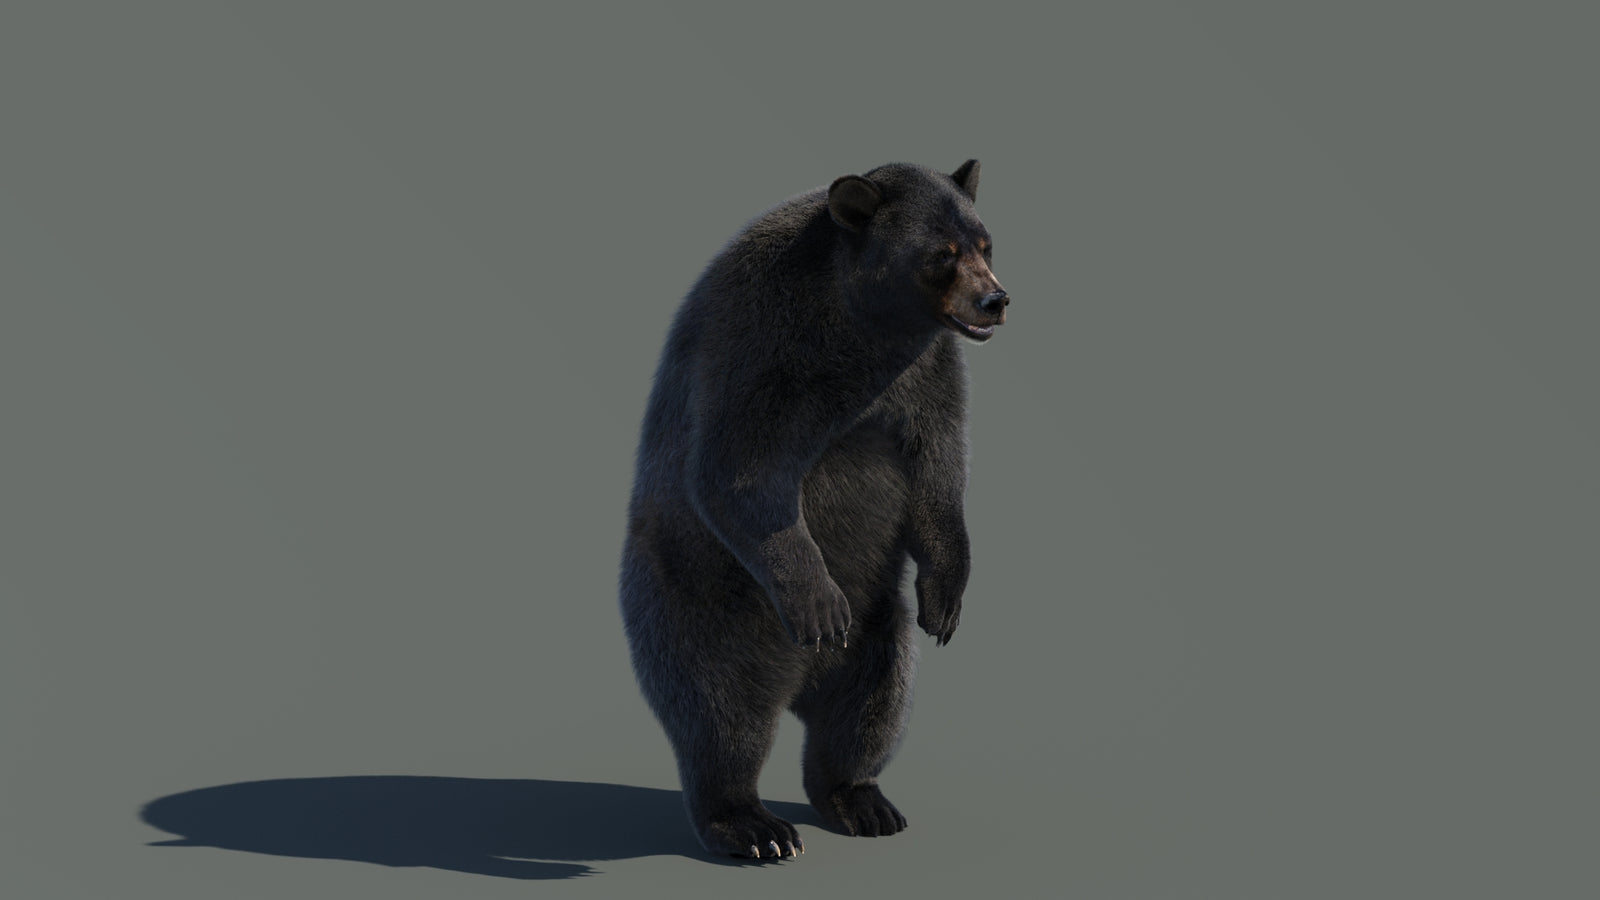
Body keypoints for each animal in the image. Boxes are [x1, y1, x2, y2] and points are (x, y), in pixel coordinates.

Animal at [619, 160, 1007, 860]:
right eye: (943, 254)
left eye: (986, 245)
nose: (996, 300)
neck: (863, 325)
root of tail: (798, 681)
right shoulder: (769, 342)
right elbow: (738, 469)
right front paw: (821, 604)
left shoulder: (926, 369)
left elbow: (938, 466)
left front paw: (946, 600)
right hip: (700, 604)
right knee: (720, 714)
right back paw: (753, 826)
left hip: (879, 626)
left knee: (871, 706)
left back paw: (862, 799)